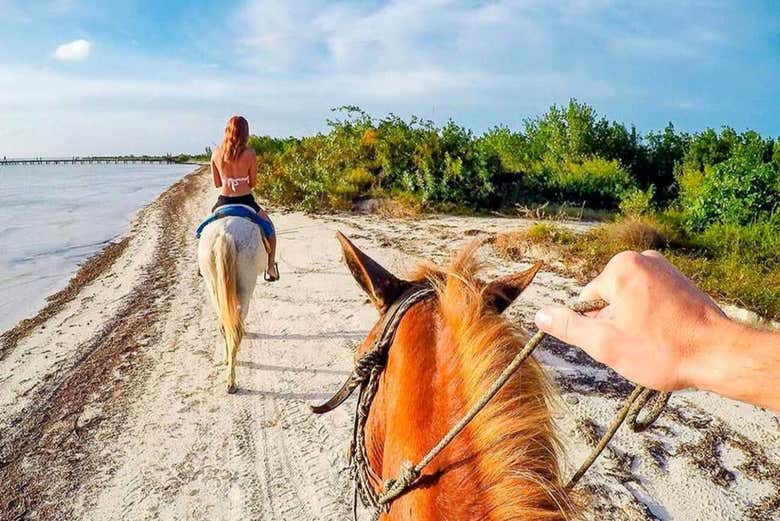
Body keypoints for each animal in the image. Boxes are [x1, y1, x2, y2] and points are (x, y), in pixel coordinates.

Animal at [198, 217, 268, 392]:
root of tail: (225, 233)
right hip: (247, 285)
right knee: (237, 325)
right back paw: (232, 381)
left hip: (213, 285)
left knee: (225, 324)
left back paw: (228, 364)